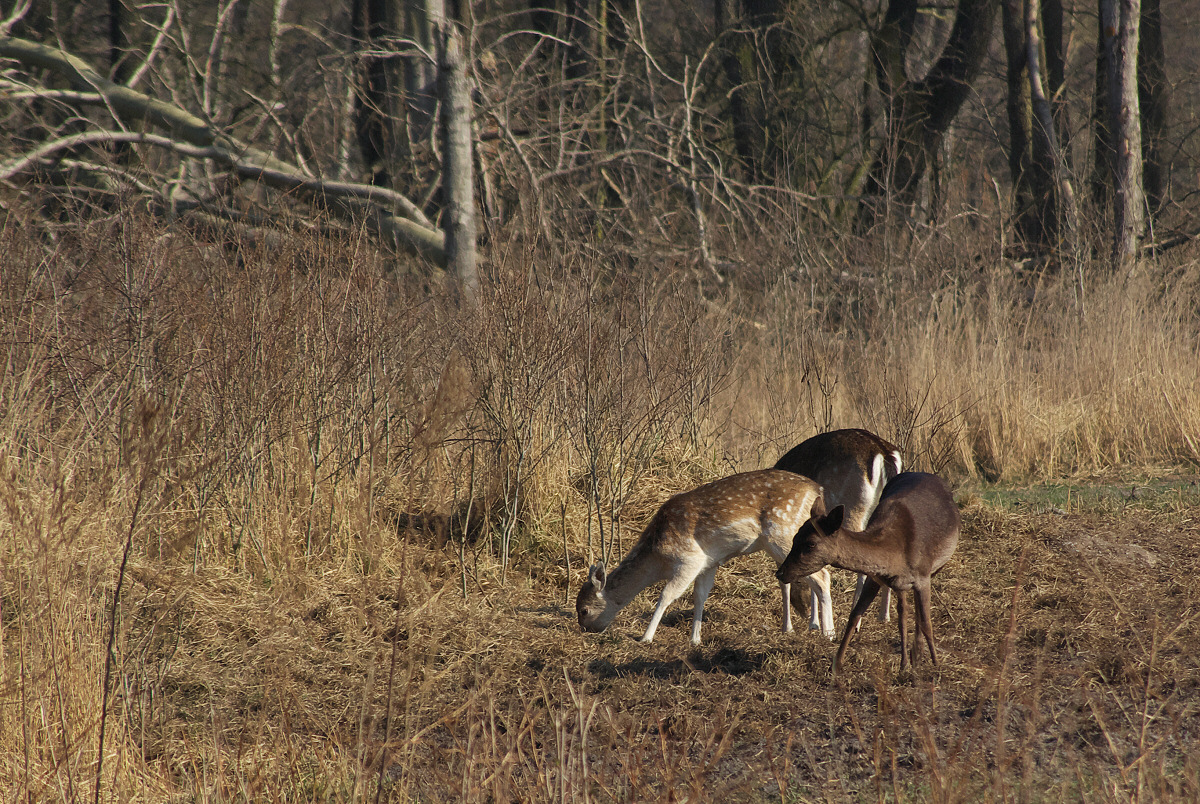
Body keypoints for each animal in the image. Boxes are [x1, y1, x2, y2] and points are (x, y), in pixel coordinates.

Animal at [576, 470, 830, 648]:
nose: (585, 630)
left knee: (823, 576)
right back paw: (813, 627)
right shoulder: (709, 563)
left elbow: (666, 595)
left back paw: (828, 633)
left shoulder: (689, 558)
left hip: (783, 533)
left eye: (584, 610)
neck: (658, 559)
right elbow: (700, 596)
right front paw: (695, 640)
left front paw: (646, 637)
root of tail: (817, 490)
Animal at [772, 472, 960, 672]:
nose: (780, 573)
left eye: (810, 544)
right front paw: (836, 665)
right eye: (794, 538)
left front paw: (934, 664)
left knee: (917, 613)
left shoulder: (923, 575)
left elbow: (926, 622)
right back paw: (914, 654)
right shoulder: (875, 577)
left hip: (935, 568)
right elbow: (855, 614)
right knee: (904, 612)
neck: (895, 553)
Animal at [777, 427, 902, 628]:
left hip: (852, 509)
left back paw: (856, 619)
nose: (803, 611)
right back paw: (884, 616)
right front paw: (815, 623)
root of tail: (884, 454)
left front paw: (800, 625)